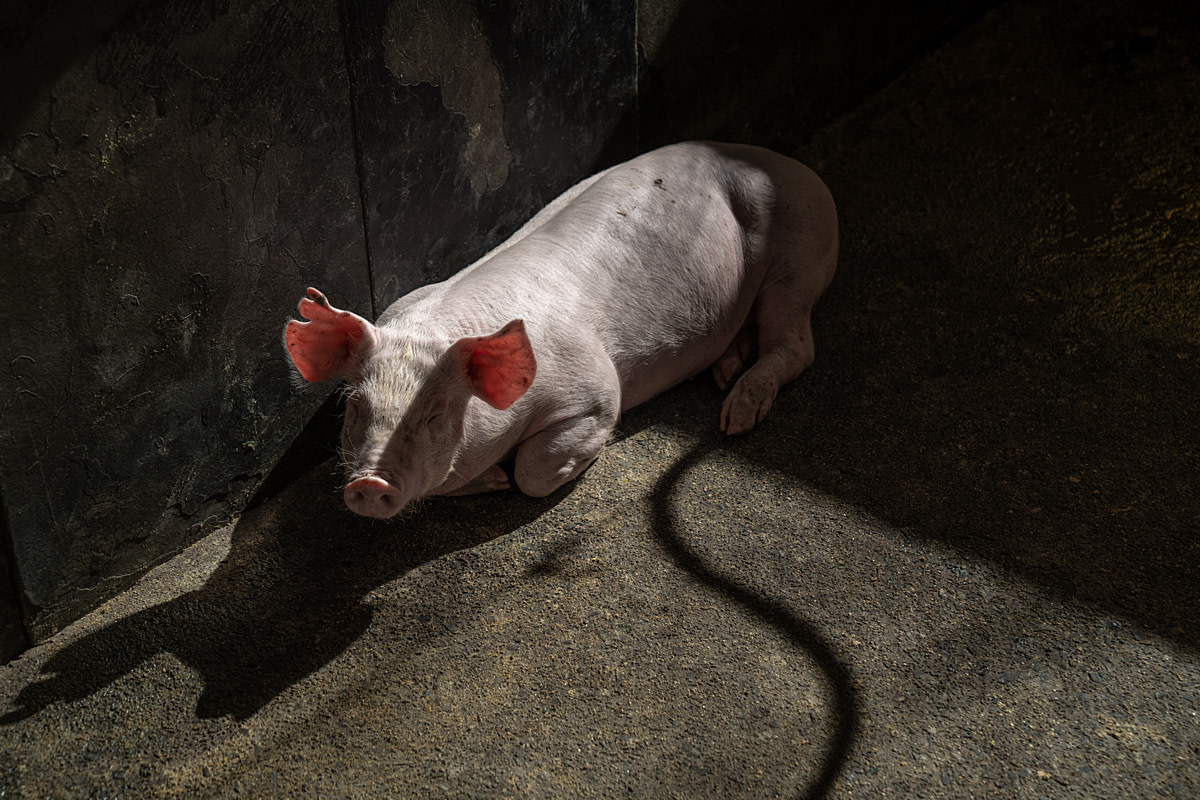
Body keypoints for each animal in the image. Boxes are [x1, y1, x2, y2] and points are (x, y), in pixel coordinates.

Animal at [285, 141, 837, 518]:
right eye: (356, 408)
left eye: (436, 416)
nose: (368, 485)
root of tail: (789, 164)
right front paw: (492, 481)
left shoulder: (596, 391)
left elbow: (532, 473)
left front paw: (521, 477)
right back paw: (724, 372)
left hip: (800, 253)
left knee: (797, 343)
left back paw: (735, 416)